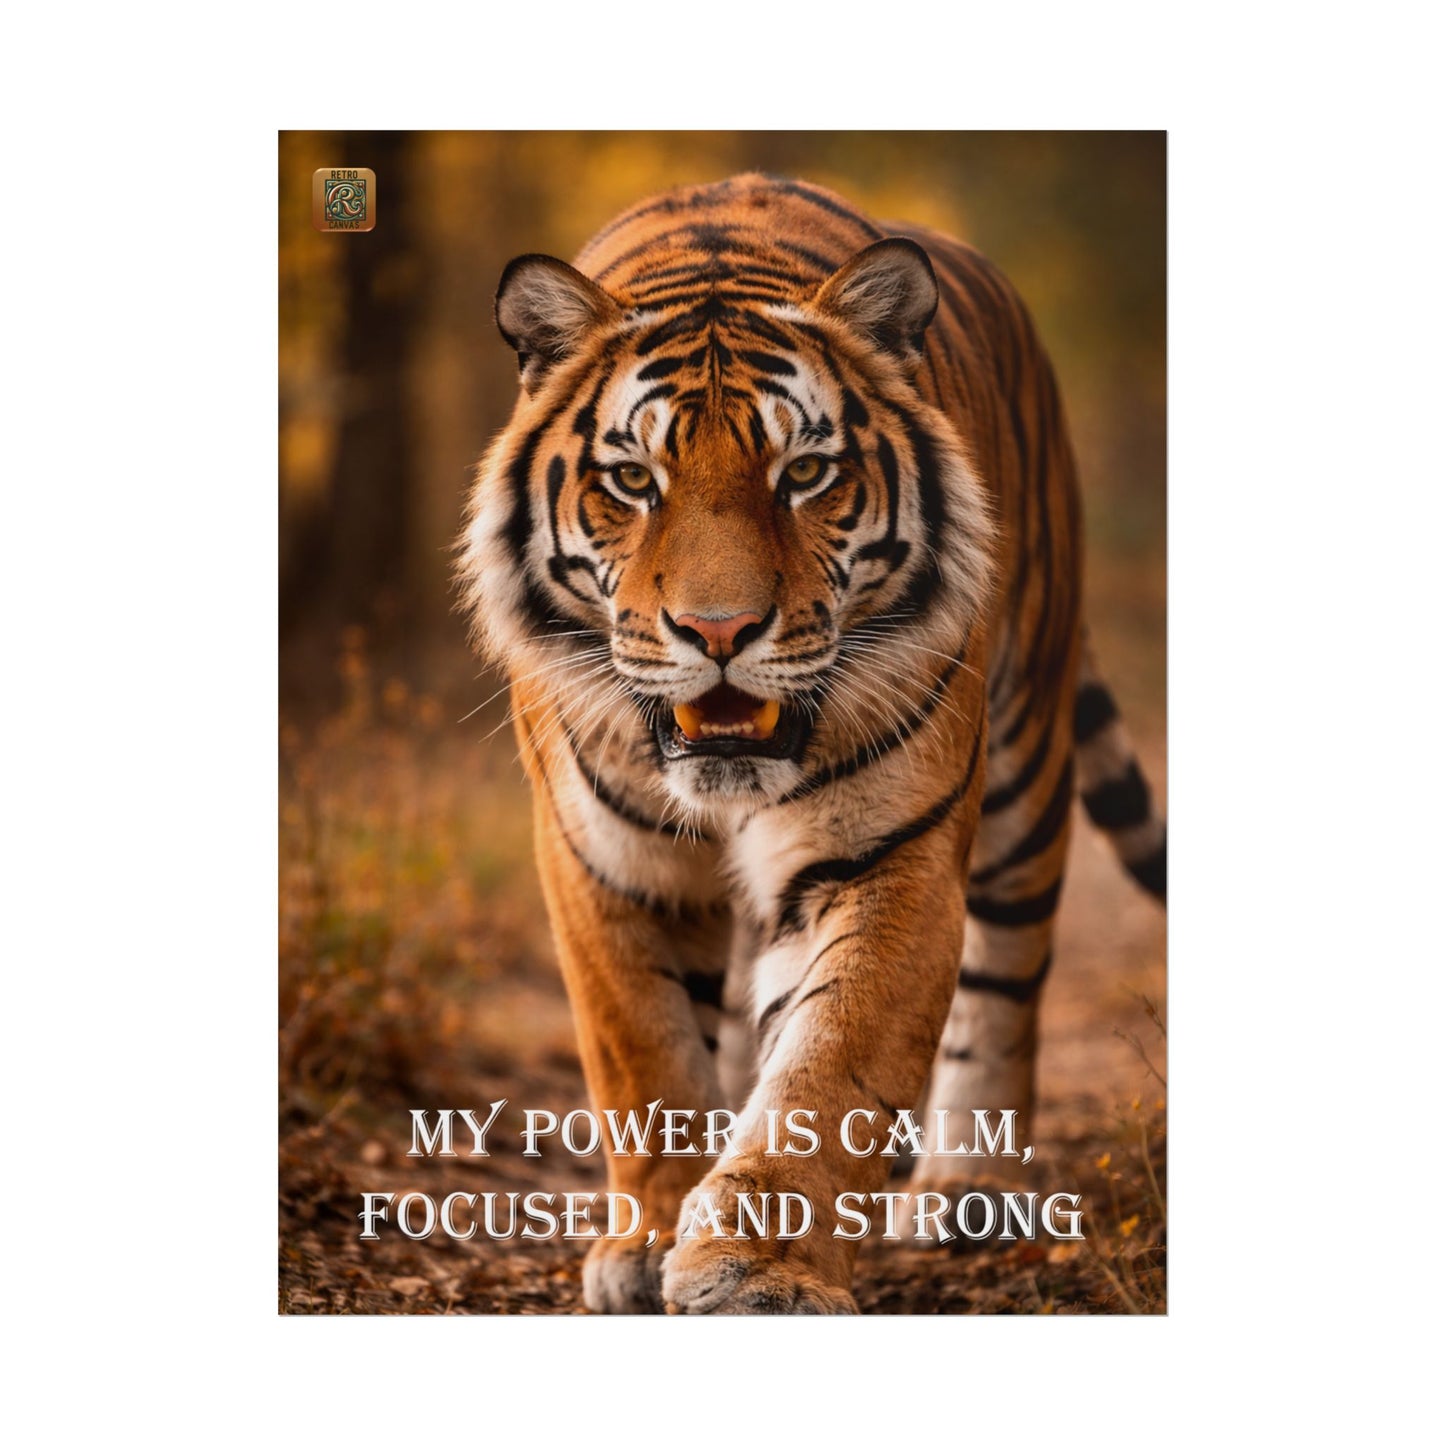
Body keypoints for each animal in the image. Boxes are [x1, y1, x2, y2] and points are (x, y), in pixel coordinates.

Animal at [457, 172, 1165, 1315]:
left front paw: (760, 1267)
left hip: (1024, 767)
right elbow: (643, 1050)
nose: (717, 631)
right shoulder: (602, 859)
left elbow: (828, 1067)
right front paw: (647, 1242)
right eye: (633, 481)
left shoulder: (888, 853)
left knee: (1006, 977)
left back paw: (968, 1186)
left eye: (805, 471)